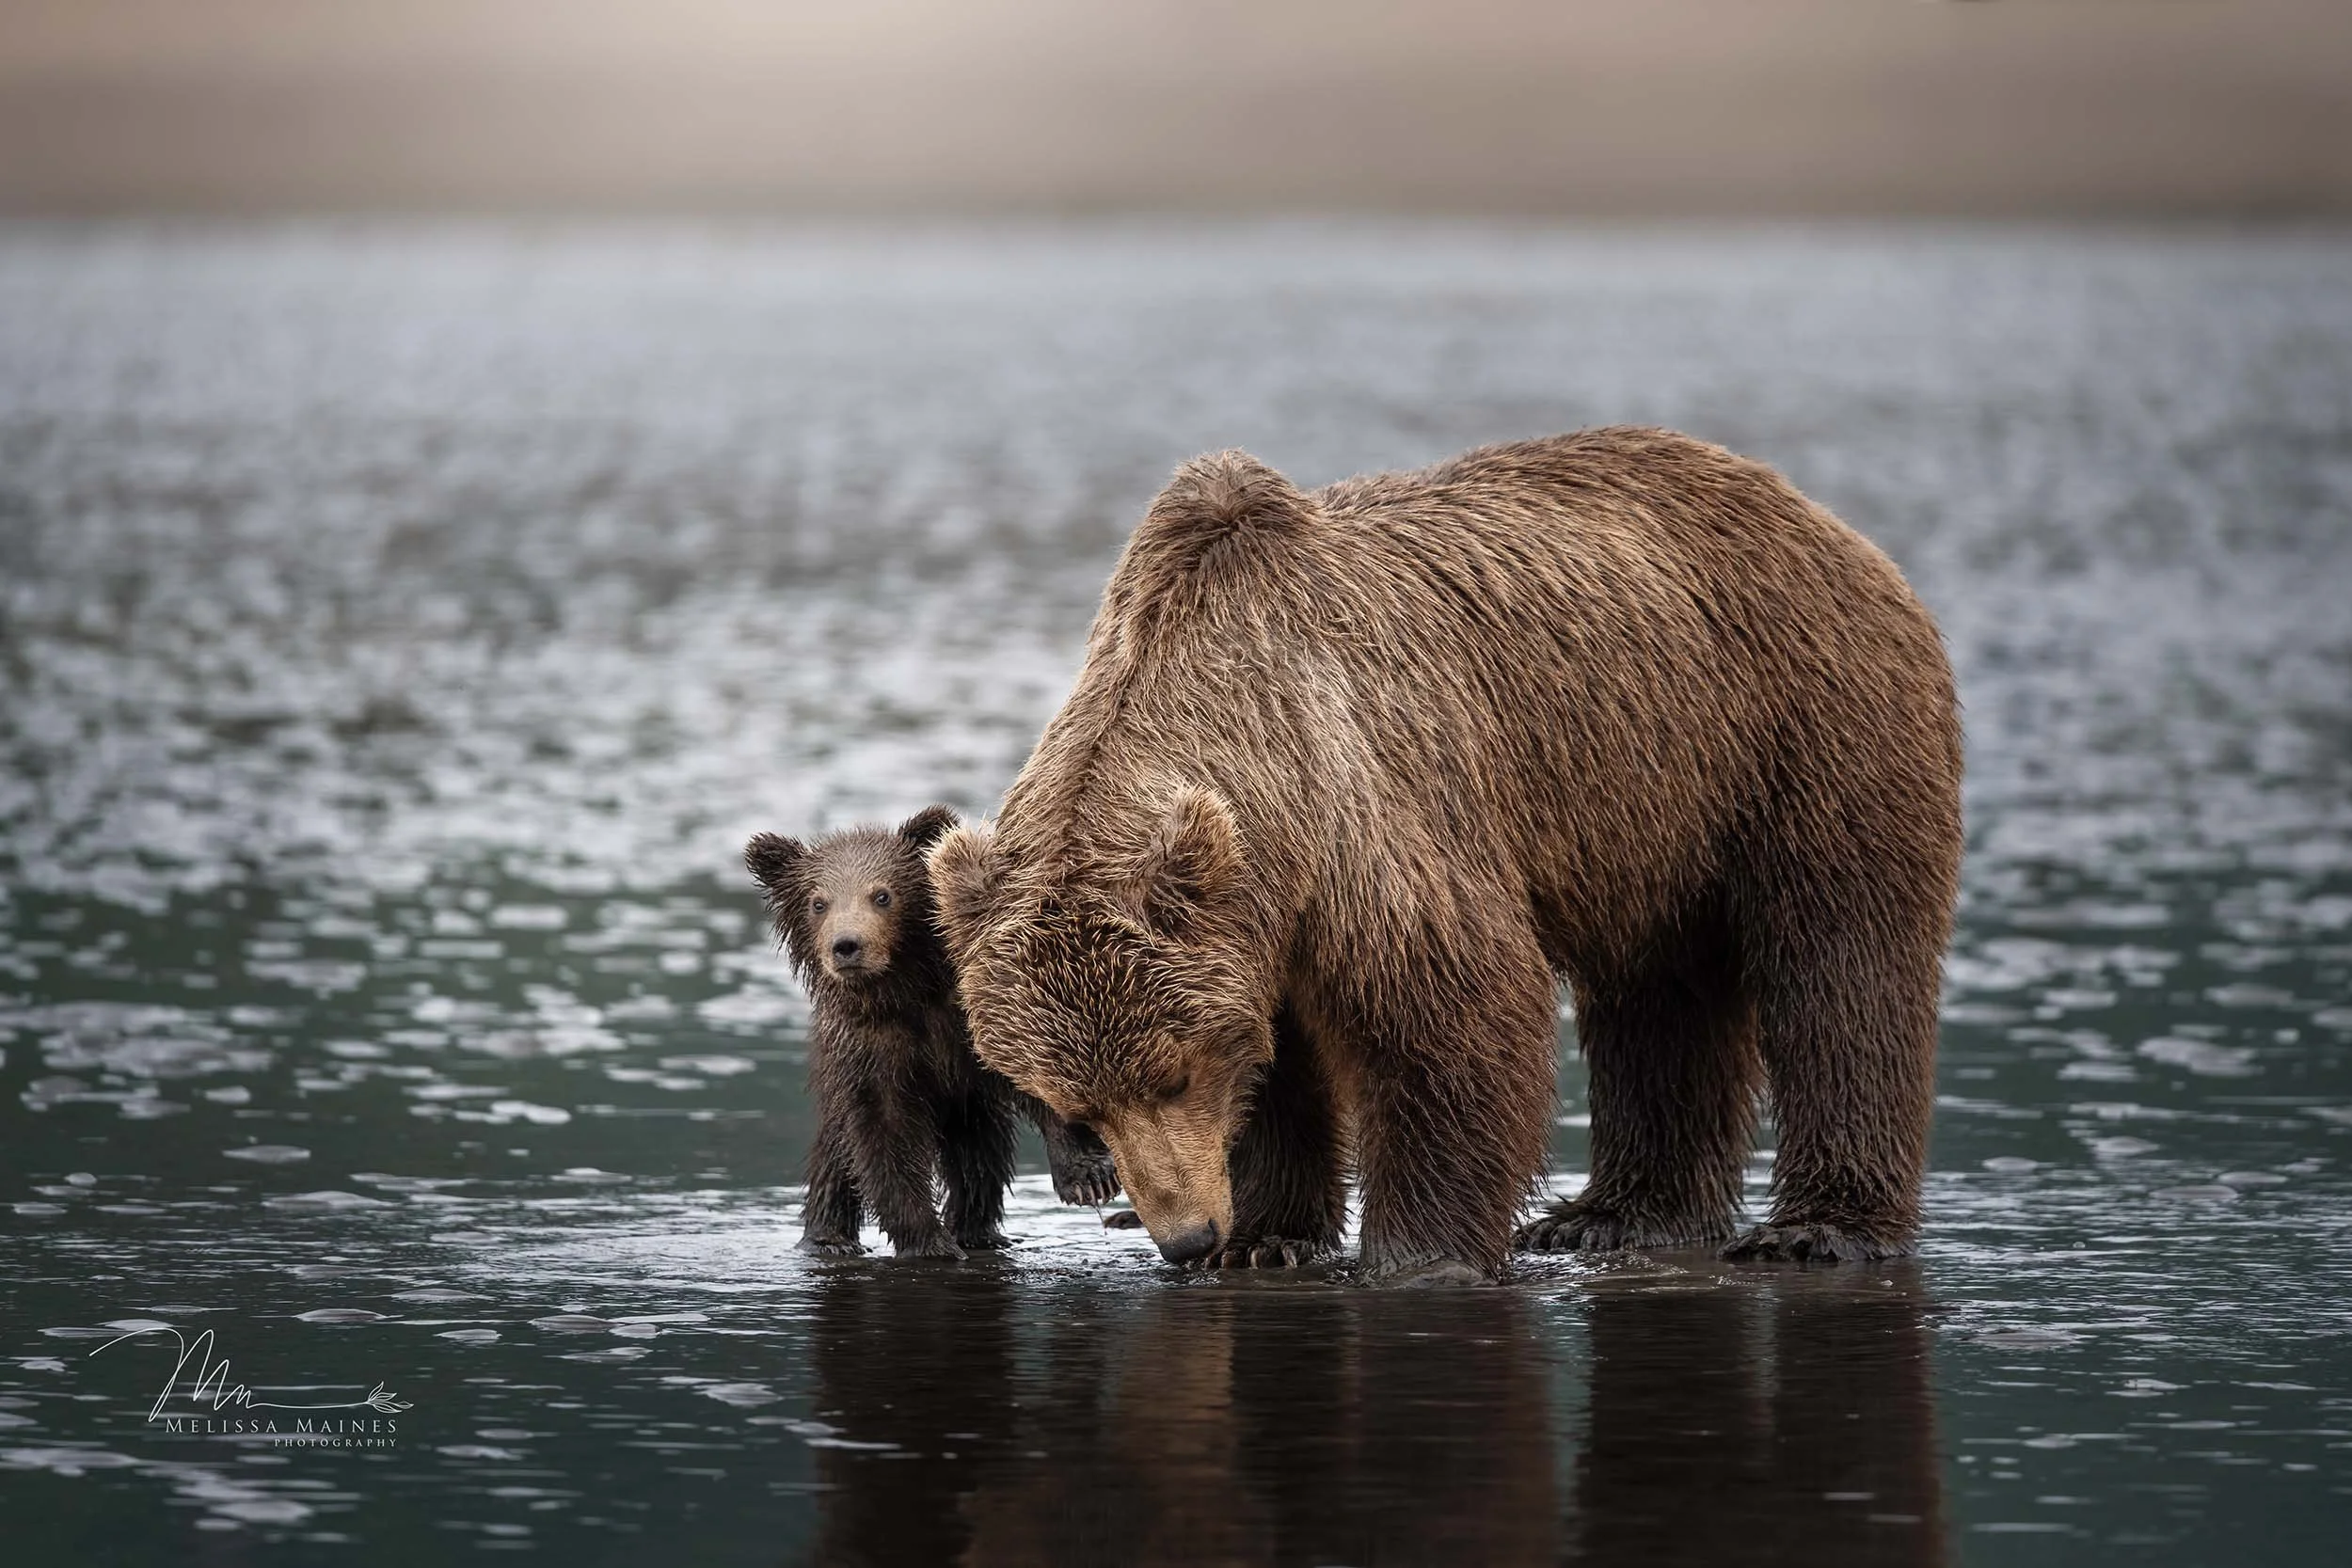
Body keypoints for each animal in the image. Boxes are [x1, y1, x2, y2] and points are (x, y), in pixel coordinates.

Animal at [746, 806, 1121, 1259]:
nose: (847, 945)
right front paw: (929, 1242)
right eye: (818, 902)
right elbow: (884, 1143)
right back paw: (829, 1238)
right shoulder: (869, 1051)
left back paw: (978, 1230)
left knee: (979, 1154)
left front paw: (1088, 1176)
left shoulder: (974, 1015)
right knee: (836, 1155)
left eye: (883, 895)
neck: (907, 990)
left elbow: (1040, 1071)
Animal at [925, 428, 1963, 1284]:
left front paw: (1417, 1253)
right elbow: (1281, 1065)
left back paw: (1815, 1227)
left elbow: (1450, 1011)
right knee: (1659, 992)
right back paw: (1617, 1215)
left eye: (1172, 1072)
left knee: (1842, 963)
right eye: (1075, 1103)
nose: (1185, 1237)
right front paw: (1268, 1236)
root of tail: (1821, 517)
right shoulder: (1257, 922)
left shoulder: (1369, 808)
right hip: (1656, 818)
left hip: (1797, 726)